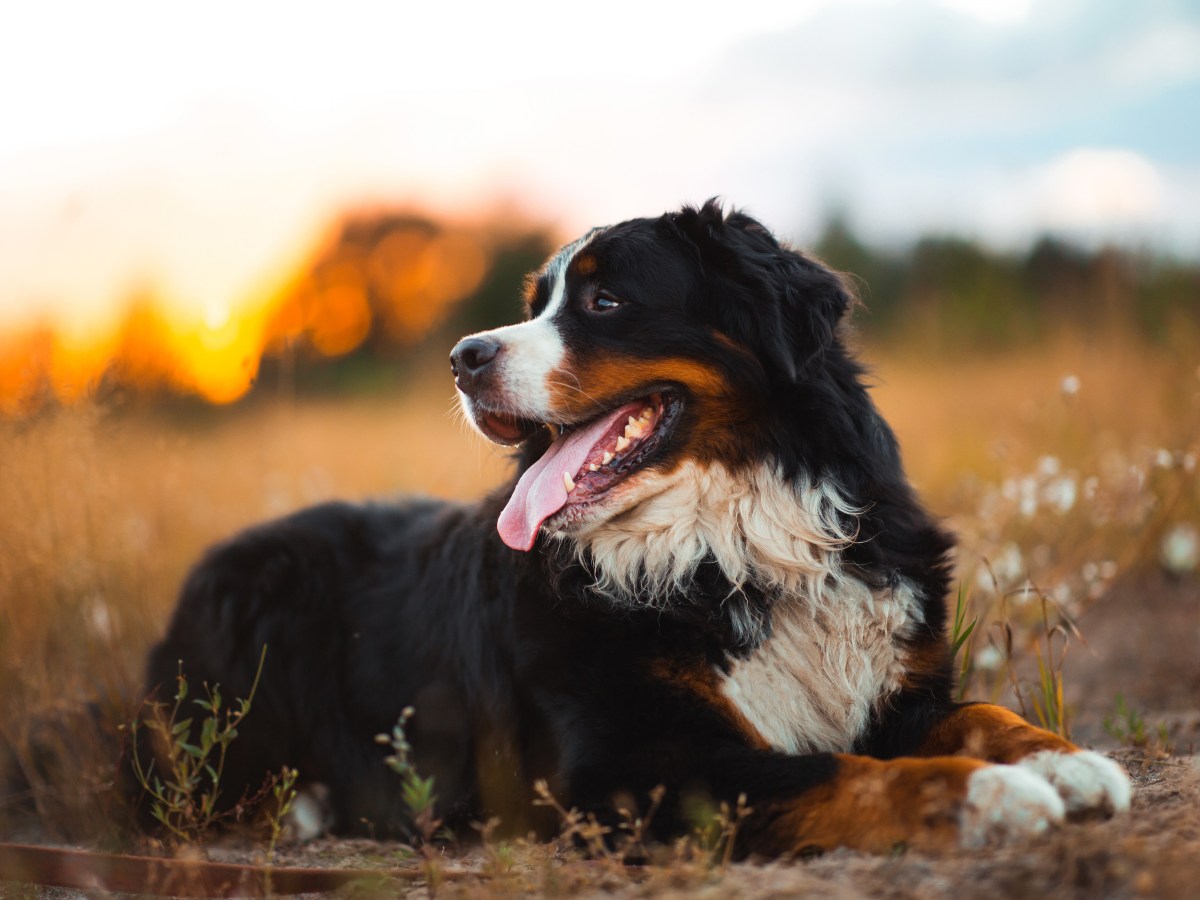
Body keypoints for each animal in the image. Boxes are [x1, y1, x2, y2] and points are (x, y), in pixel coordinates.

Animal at [145, 200, 1128, 854]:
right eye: (537, 303)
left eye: (605, 302)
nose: (463, 358)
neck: (732, 542)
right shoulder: (628, 764)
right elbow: (844, 772)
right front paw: (988, 798)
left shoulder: (895, 687)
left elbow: (985, 713)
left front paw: (1068, 764)